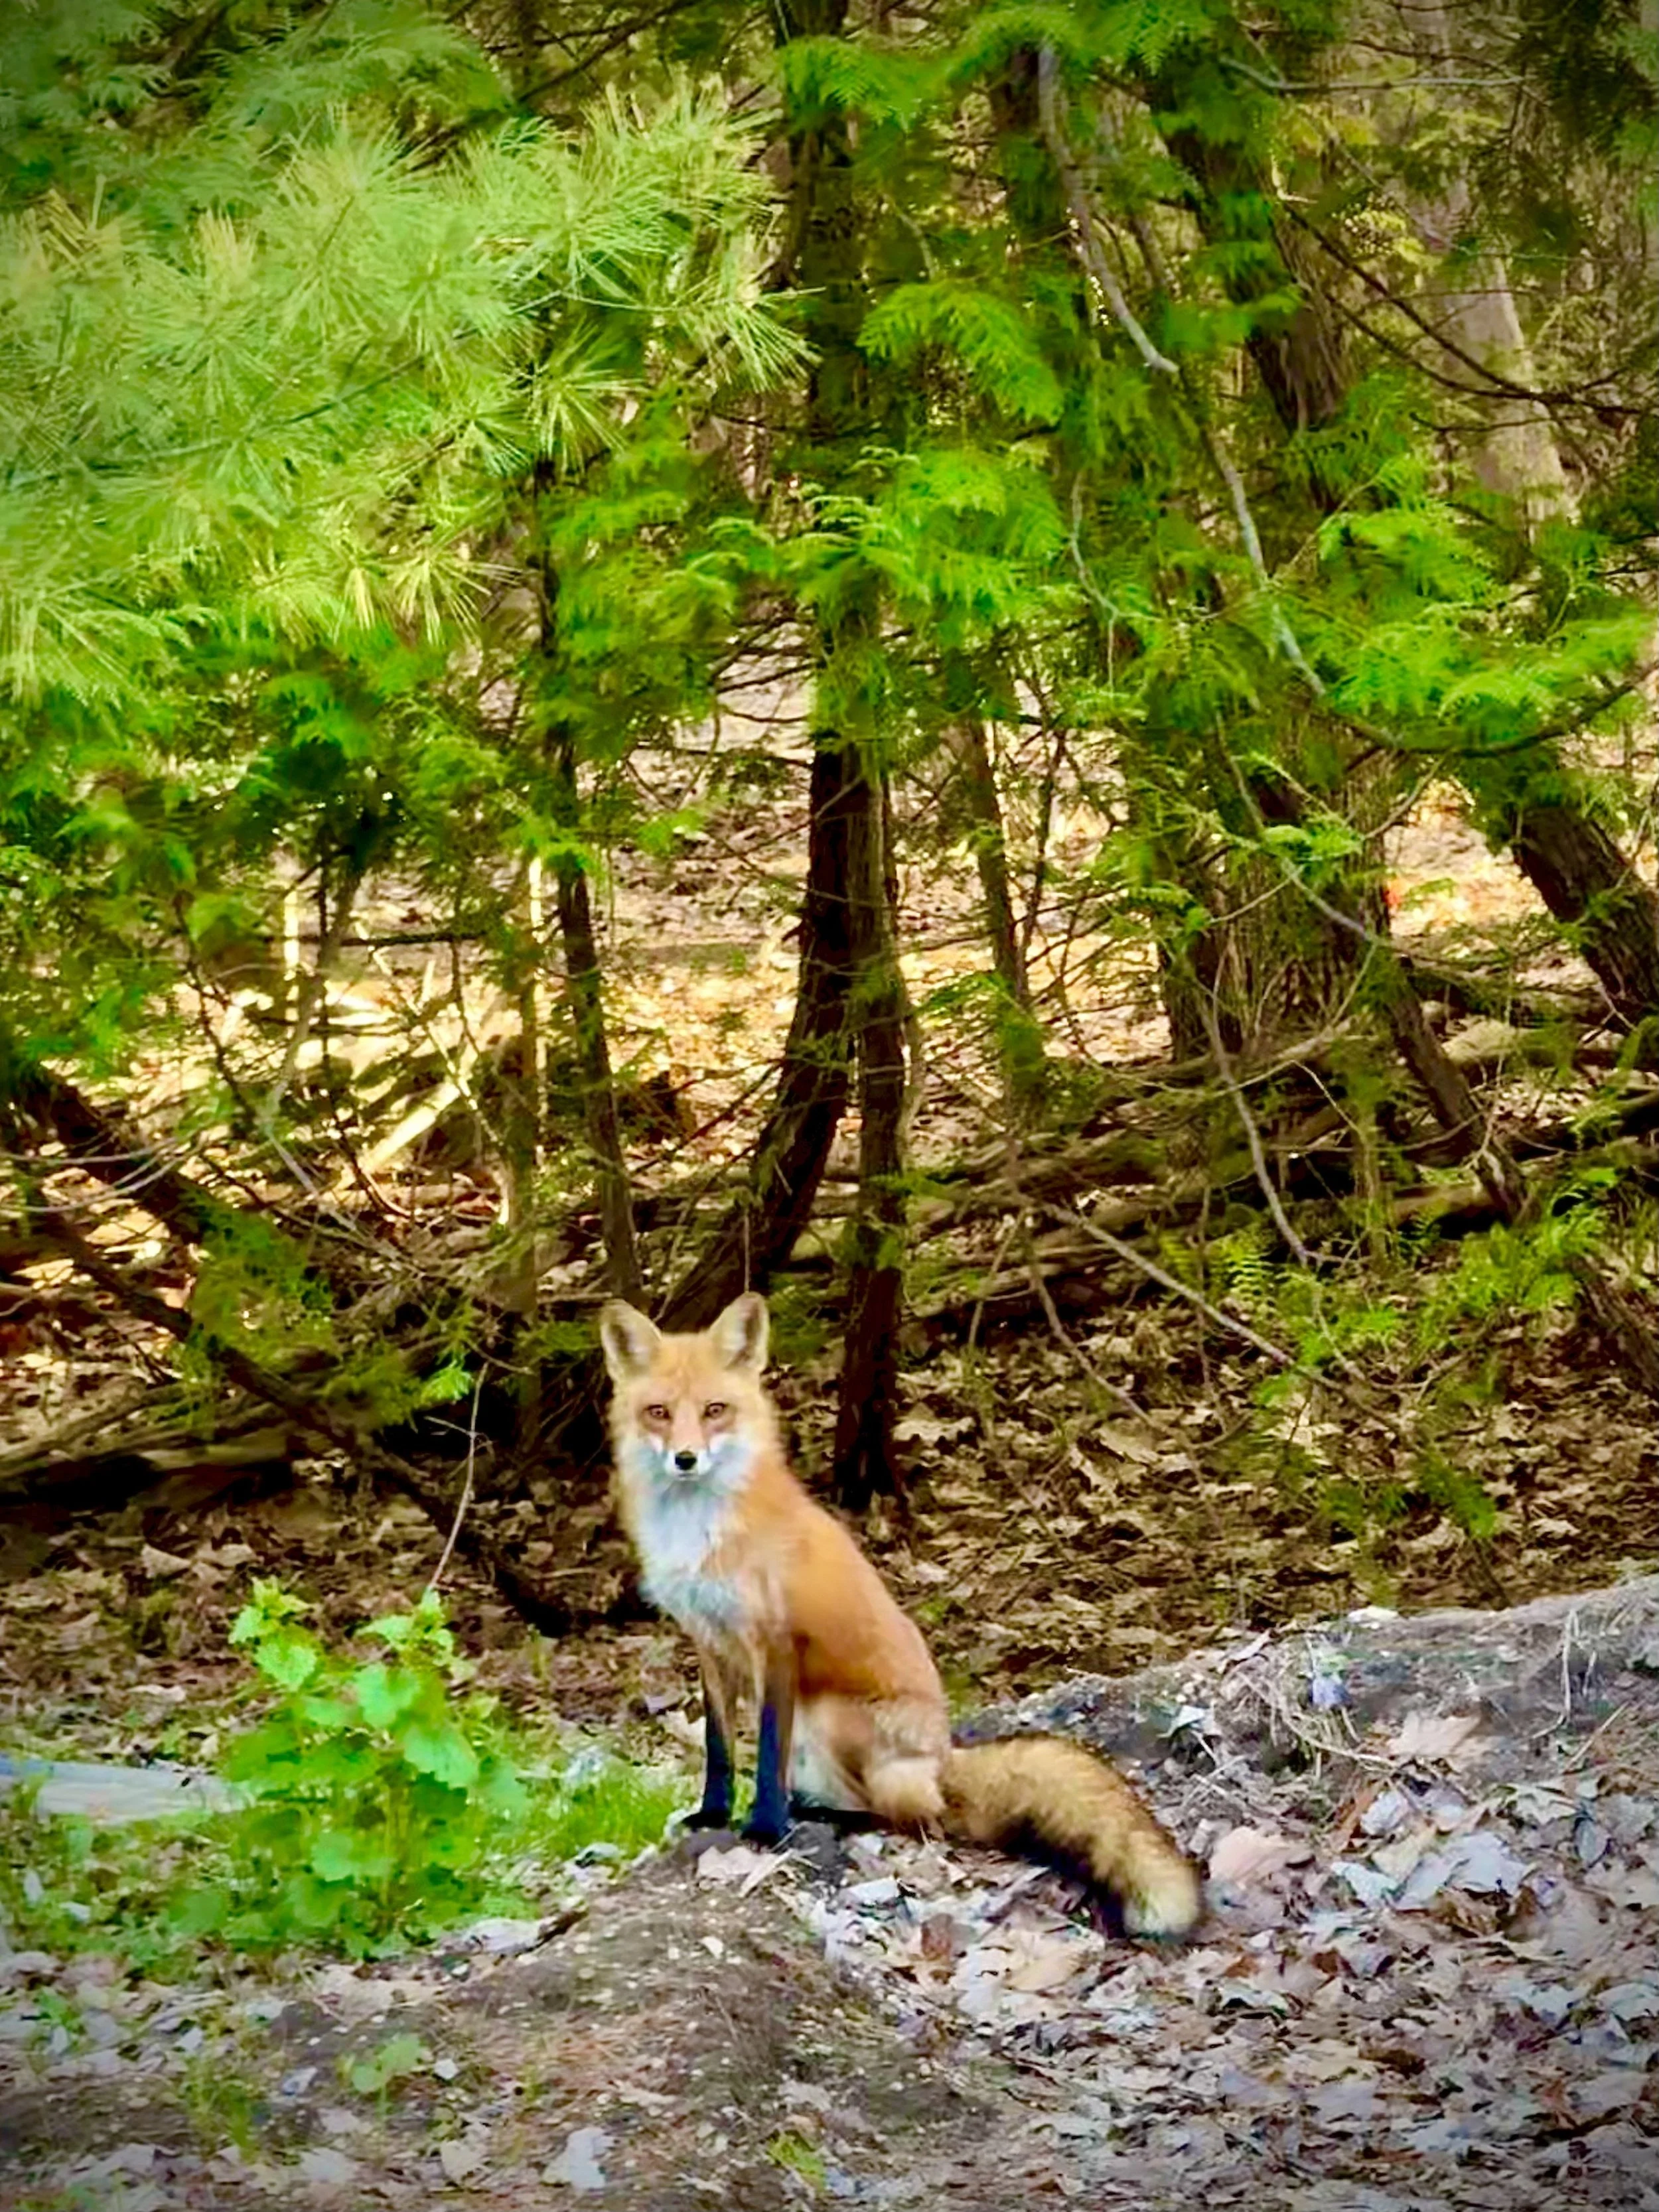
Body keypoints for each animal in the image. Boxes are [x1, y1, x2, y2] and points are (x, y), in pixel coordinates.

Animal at [599, 1291, 1201, 1938]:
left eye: (716, 1410)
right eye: (659, 1412)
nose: (685, 1459)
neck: (699, 1532)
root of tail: (943, 1758)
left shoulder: (777, 1641)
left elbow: (766, 1752)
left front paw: (763, 1827)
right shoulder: (708, 1641)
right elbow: (719, 1747)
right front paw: (712, 1814)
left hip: (828, 1716)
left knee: (909, 1818)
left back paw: (834, 1819)